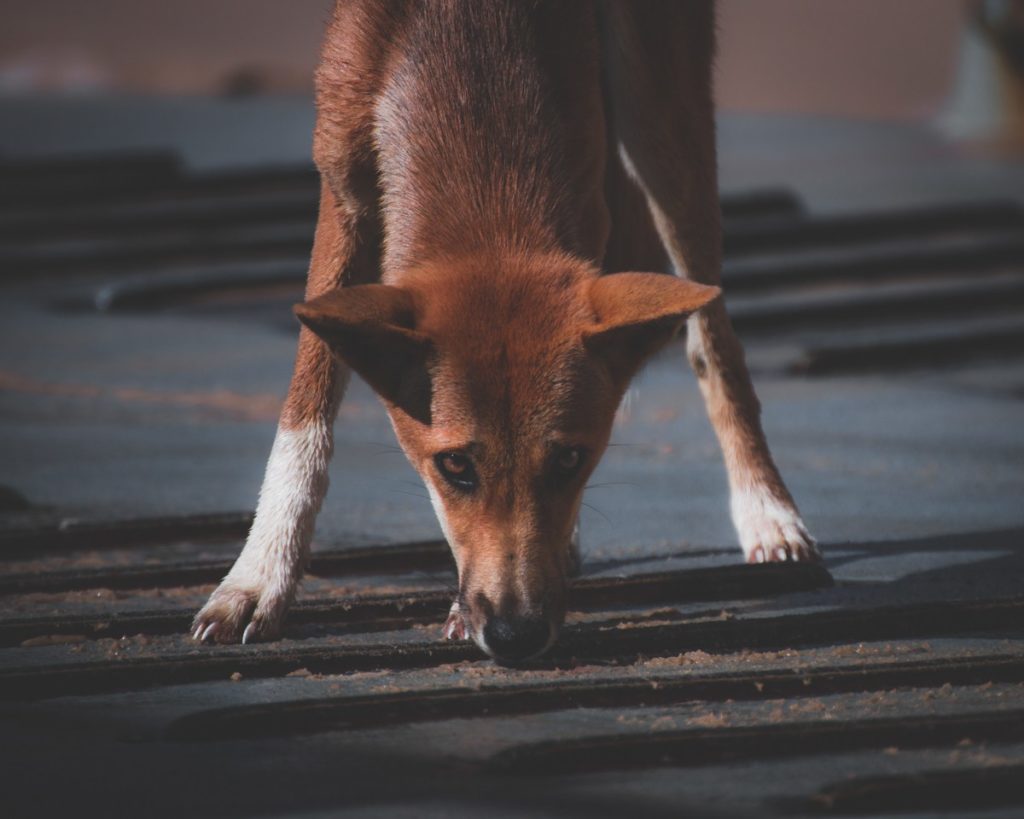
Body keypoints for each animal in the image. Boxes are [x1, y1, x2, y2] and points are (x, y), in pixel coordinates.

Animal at [190, 0, 815, 663]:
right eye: (455, 467)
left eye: (570, 459)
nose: (518, 635)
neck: (473, 64)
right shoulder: (342, 186)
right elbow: (305, 405)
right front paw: (258, 578)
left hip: (660, 113)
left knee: (714, 342)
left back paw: (767, 512)